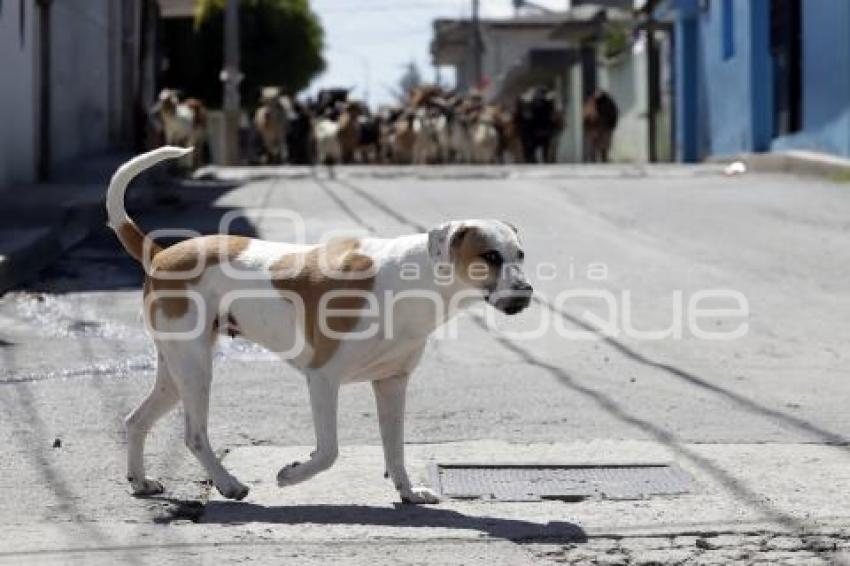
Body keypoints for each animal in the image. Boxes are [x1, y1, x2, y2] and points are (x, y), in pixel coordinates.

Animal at [107, 148, 528, 506]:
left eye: (520, 255)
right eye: (490, 256)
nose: (526, 293)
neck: (413, 278)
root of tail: (161, 253)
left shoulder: (391, 384)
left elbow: (395, 449)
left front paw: (408, 492)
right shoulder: (322, 378)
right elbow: (328, 452)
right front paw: (292, 474)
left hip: (175, 372)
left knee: (135, 420)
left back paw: (140, 481)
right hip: (196, 369)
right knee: (194, 434)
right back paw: (227, 483)